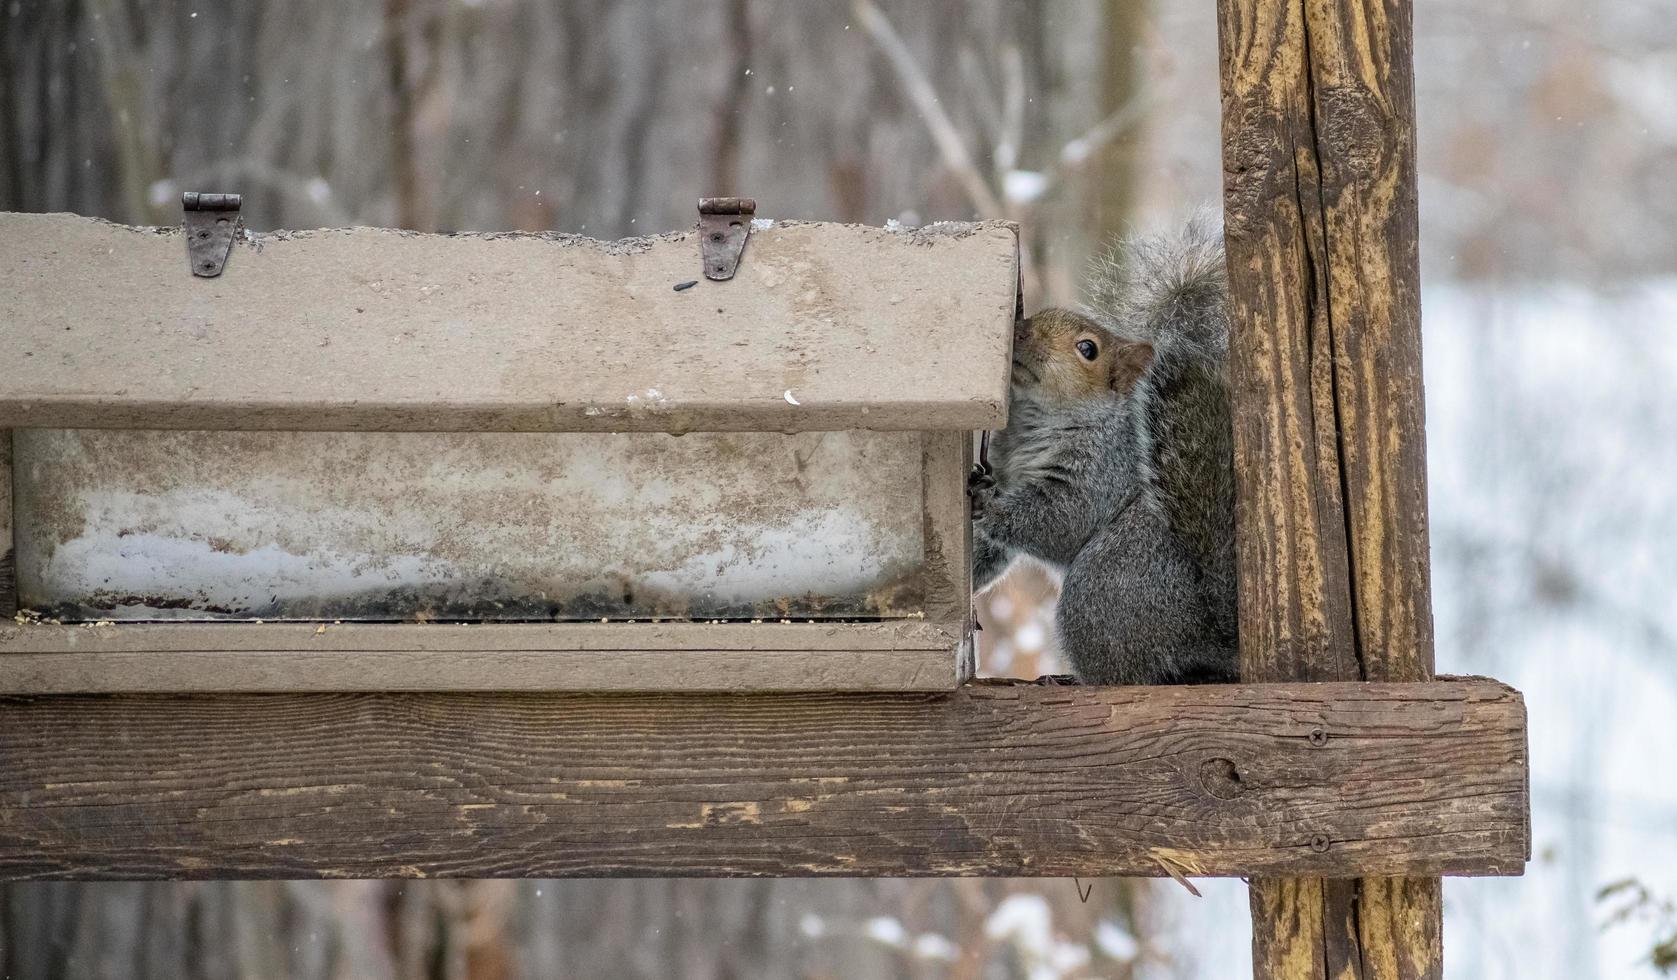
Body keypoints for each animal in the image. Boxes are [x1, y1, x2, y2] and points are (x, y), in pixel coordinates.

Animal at [972, 218, 1247, 684]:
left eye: (1088, 349)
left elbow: (1061, 519)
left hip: (1100, 589)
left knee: (1125, 676)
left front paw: (989, 506)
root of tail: (1210, 637)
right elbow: (993, 547)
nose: (1019, 332)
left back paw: (1067, 680)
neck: (1035, 420)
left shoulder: (1101, 471)